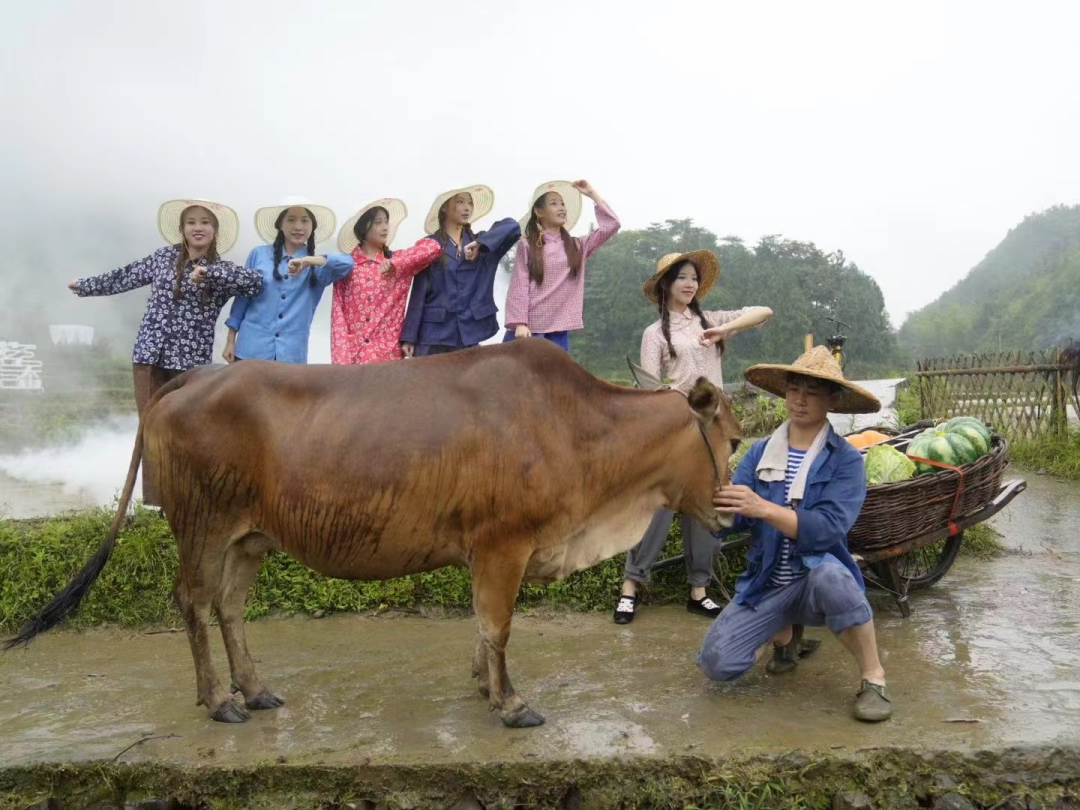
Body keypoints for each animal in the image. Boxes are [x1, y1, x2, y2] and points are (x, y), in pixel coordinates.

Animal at [4, 339, 738, 734]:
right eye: (730, 437)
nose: (733, 515)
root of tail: (193, 376)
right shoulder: (503, 542)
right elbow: (497, 626)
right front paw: (509, 702)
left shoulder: (488, 551)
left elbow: (482, 629)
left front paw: (484, 686)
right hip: (200, 522)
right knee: (191, 601)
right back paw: (218, 701)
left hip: (249, 536)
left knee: (229, 606)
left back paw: (254, 689)